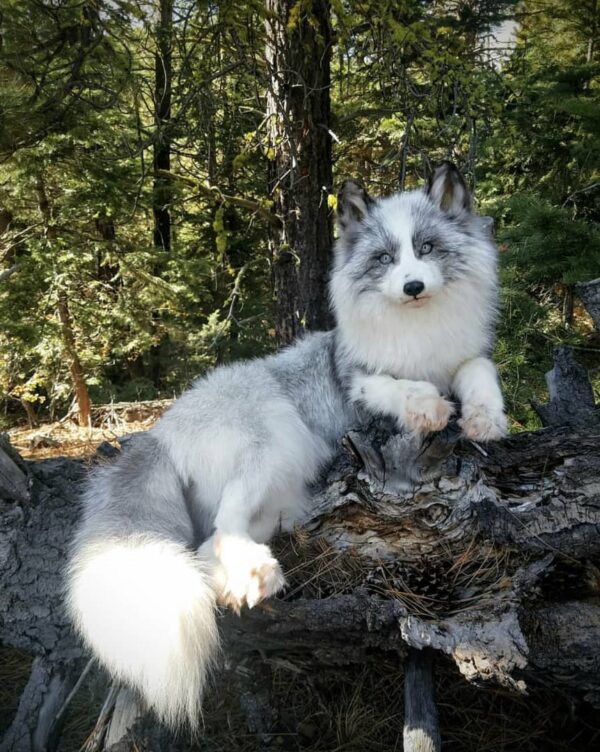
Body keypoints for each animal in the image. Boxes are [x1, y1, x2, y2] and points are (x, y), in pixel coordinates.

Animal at [66, 161, 506, 729]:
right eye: (385, 259)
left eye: (427, 248)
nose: (412, 286)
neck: (417, 333)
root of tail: (160, 434)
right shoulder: (357, 383)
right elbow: (400, 388)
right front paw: (427, 406)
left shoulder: (464, 360)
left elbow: (480, 372)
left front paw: (486, 419)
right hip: (275, 437)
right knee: (222, 527)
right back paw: (256, 573)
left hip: (284, 492)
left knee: (207, 546)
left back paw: (239, 580)